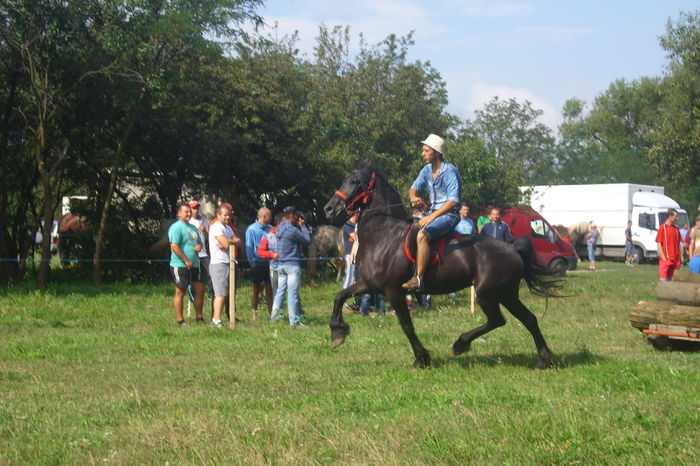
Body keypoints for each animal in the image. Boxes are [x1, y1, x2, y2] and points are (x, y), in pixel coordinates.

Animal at [324, 162, 556, 370]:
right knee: (528, 319)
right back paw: (544, 359)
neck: (384, 234)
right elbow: (340, 296)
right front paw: (337, 333)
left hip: (487, 294)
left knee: (498, 320)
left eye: (355, 182)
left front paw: (421, 359)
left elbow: (407, 326)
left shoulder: (393, 290)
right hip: (505, 293)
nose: (329, 209)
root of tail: (513, 249)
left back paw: (461, 344)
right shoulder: (370, 284)